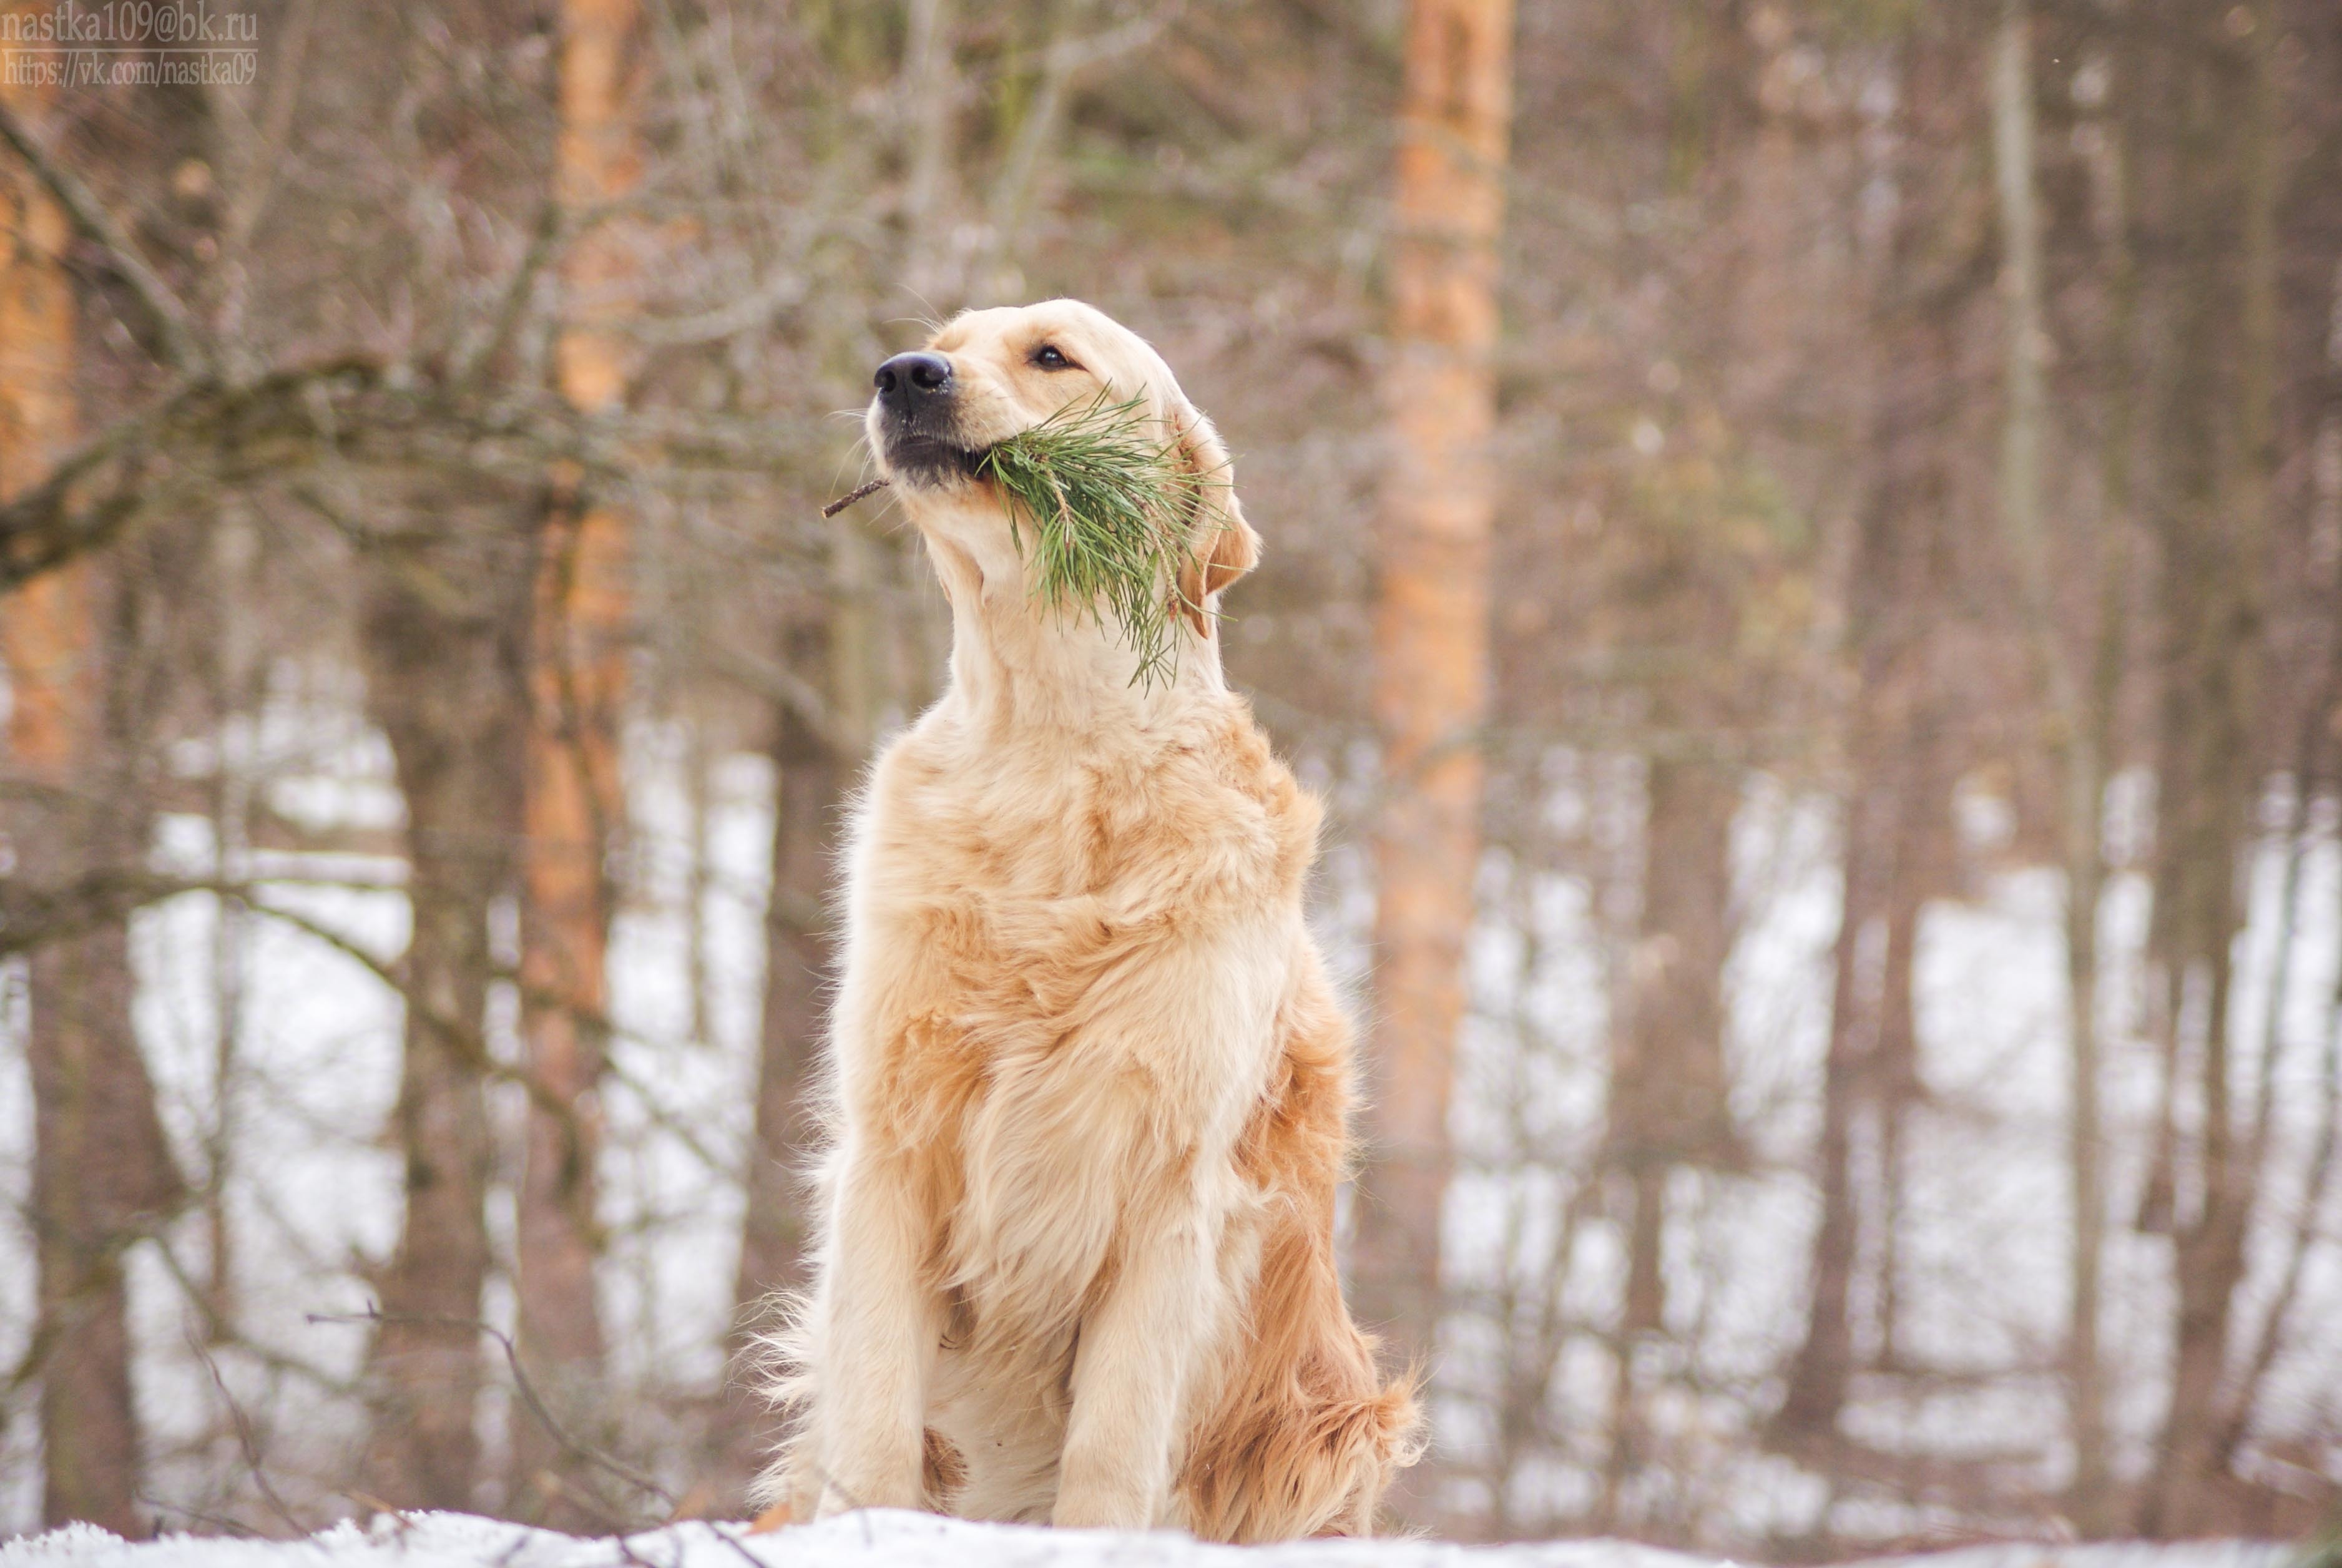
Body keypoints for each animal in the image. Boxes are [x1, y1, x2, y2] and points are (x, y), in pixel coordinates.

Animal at [768, 298, 1414, 1544]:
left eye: (1052, 357)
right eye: (942, 342)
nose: (902, 375)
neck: (1051, 748)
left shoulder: (1172, 1185)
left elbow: (1113, 1446)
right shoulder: (893, 1141)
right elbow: (871, 1415)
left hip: (1327, 1424)